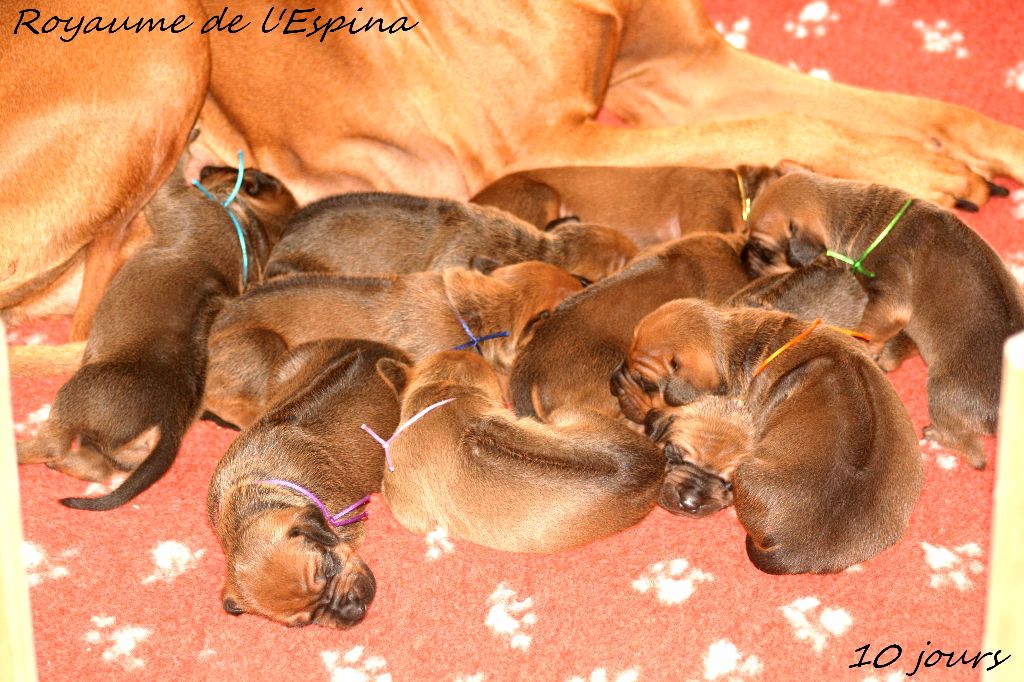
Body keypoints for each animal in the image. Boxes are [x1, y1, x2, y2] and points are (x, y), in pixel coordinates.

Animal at [16, 161, 296, 510]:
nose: (206, 167)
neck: (250, 228)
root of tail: (168, 425)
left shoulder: (174, 200)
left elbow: (170, 184)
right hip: (118, 450)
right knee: (97, 468)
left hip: (76, 395)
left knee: (54, 444)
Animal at [743, 170, 1024, 468]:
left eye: (763, 249)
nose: (742, 256)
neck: (864, 218)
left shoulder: (890, 294)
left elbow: (870, 327)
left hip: (943, 394)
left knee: (973, 453)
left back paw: (936, 435)